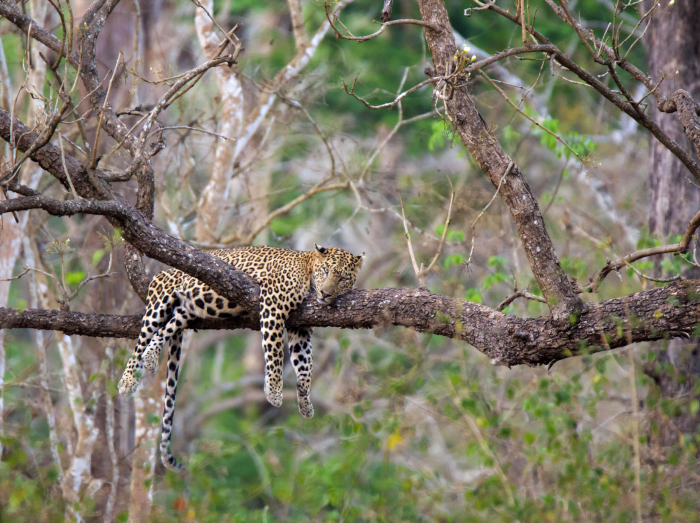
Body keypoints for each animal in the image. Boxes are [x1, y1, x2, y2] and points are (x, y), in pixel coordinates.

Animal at [117, 246, 364, 470]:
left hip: (187, 310)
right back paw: (127, 380)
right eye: (326, 271)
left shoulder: (300, 328)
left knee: (165, 329)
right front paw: (274, 392)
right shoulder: (273, 306)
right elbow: (275, 352)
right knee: (142, 339)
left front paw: (305, 404)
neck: (308, 268)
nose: (326, 294)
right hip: (160, 299)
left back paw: (151, 357)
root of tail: (164, 272)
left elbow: (305, 366)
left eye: (343, 278)